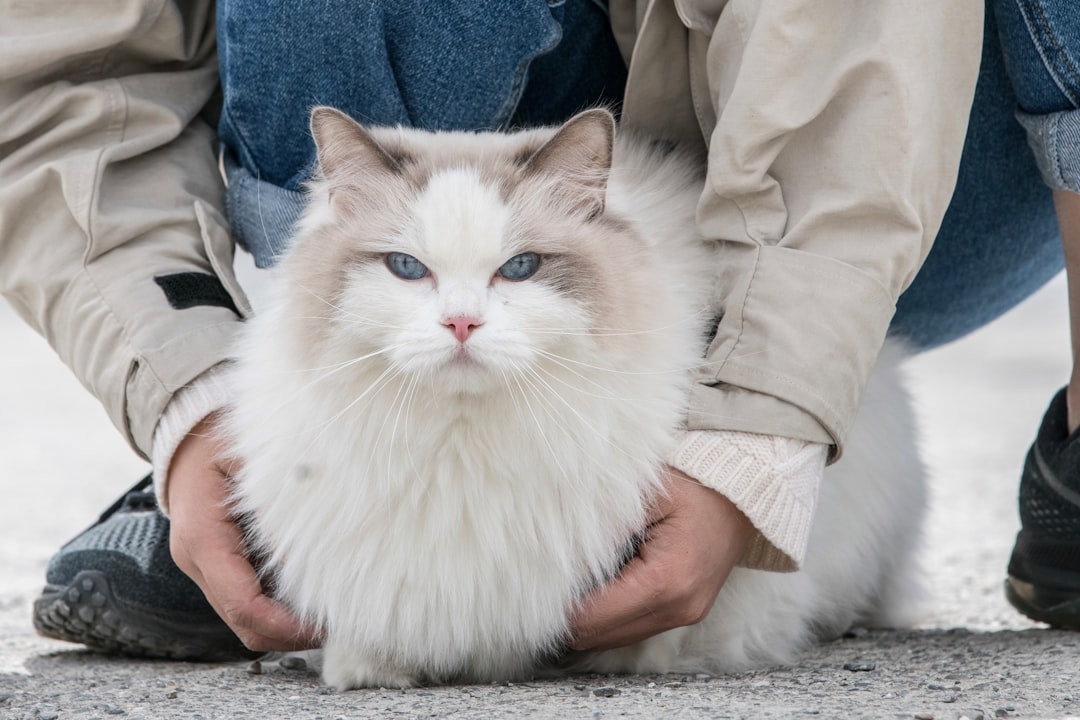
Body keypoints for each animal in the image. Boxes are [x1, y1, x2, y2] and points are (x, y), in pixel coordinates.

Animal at [223, 108, 924, 690]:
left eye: (521, 268)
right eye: (406, 268)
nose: (461, 324)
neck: (462, 449)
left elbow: (643, 645)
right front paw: (355, 664)